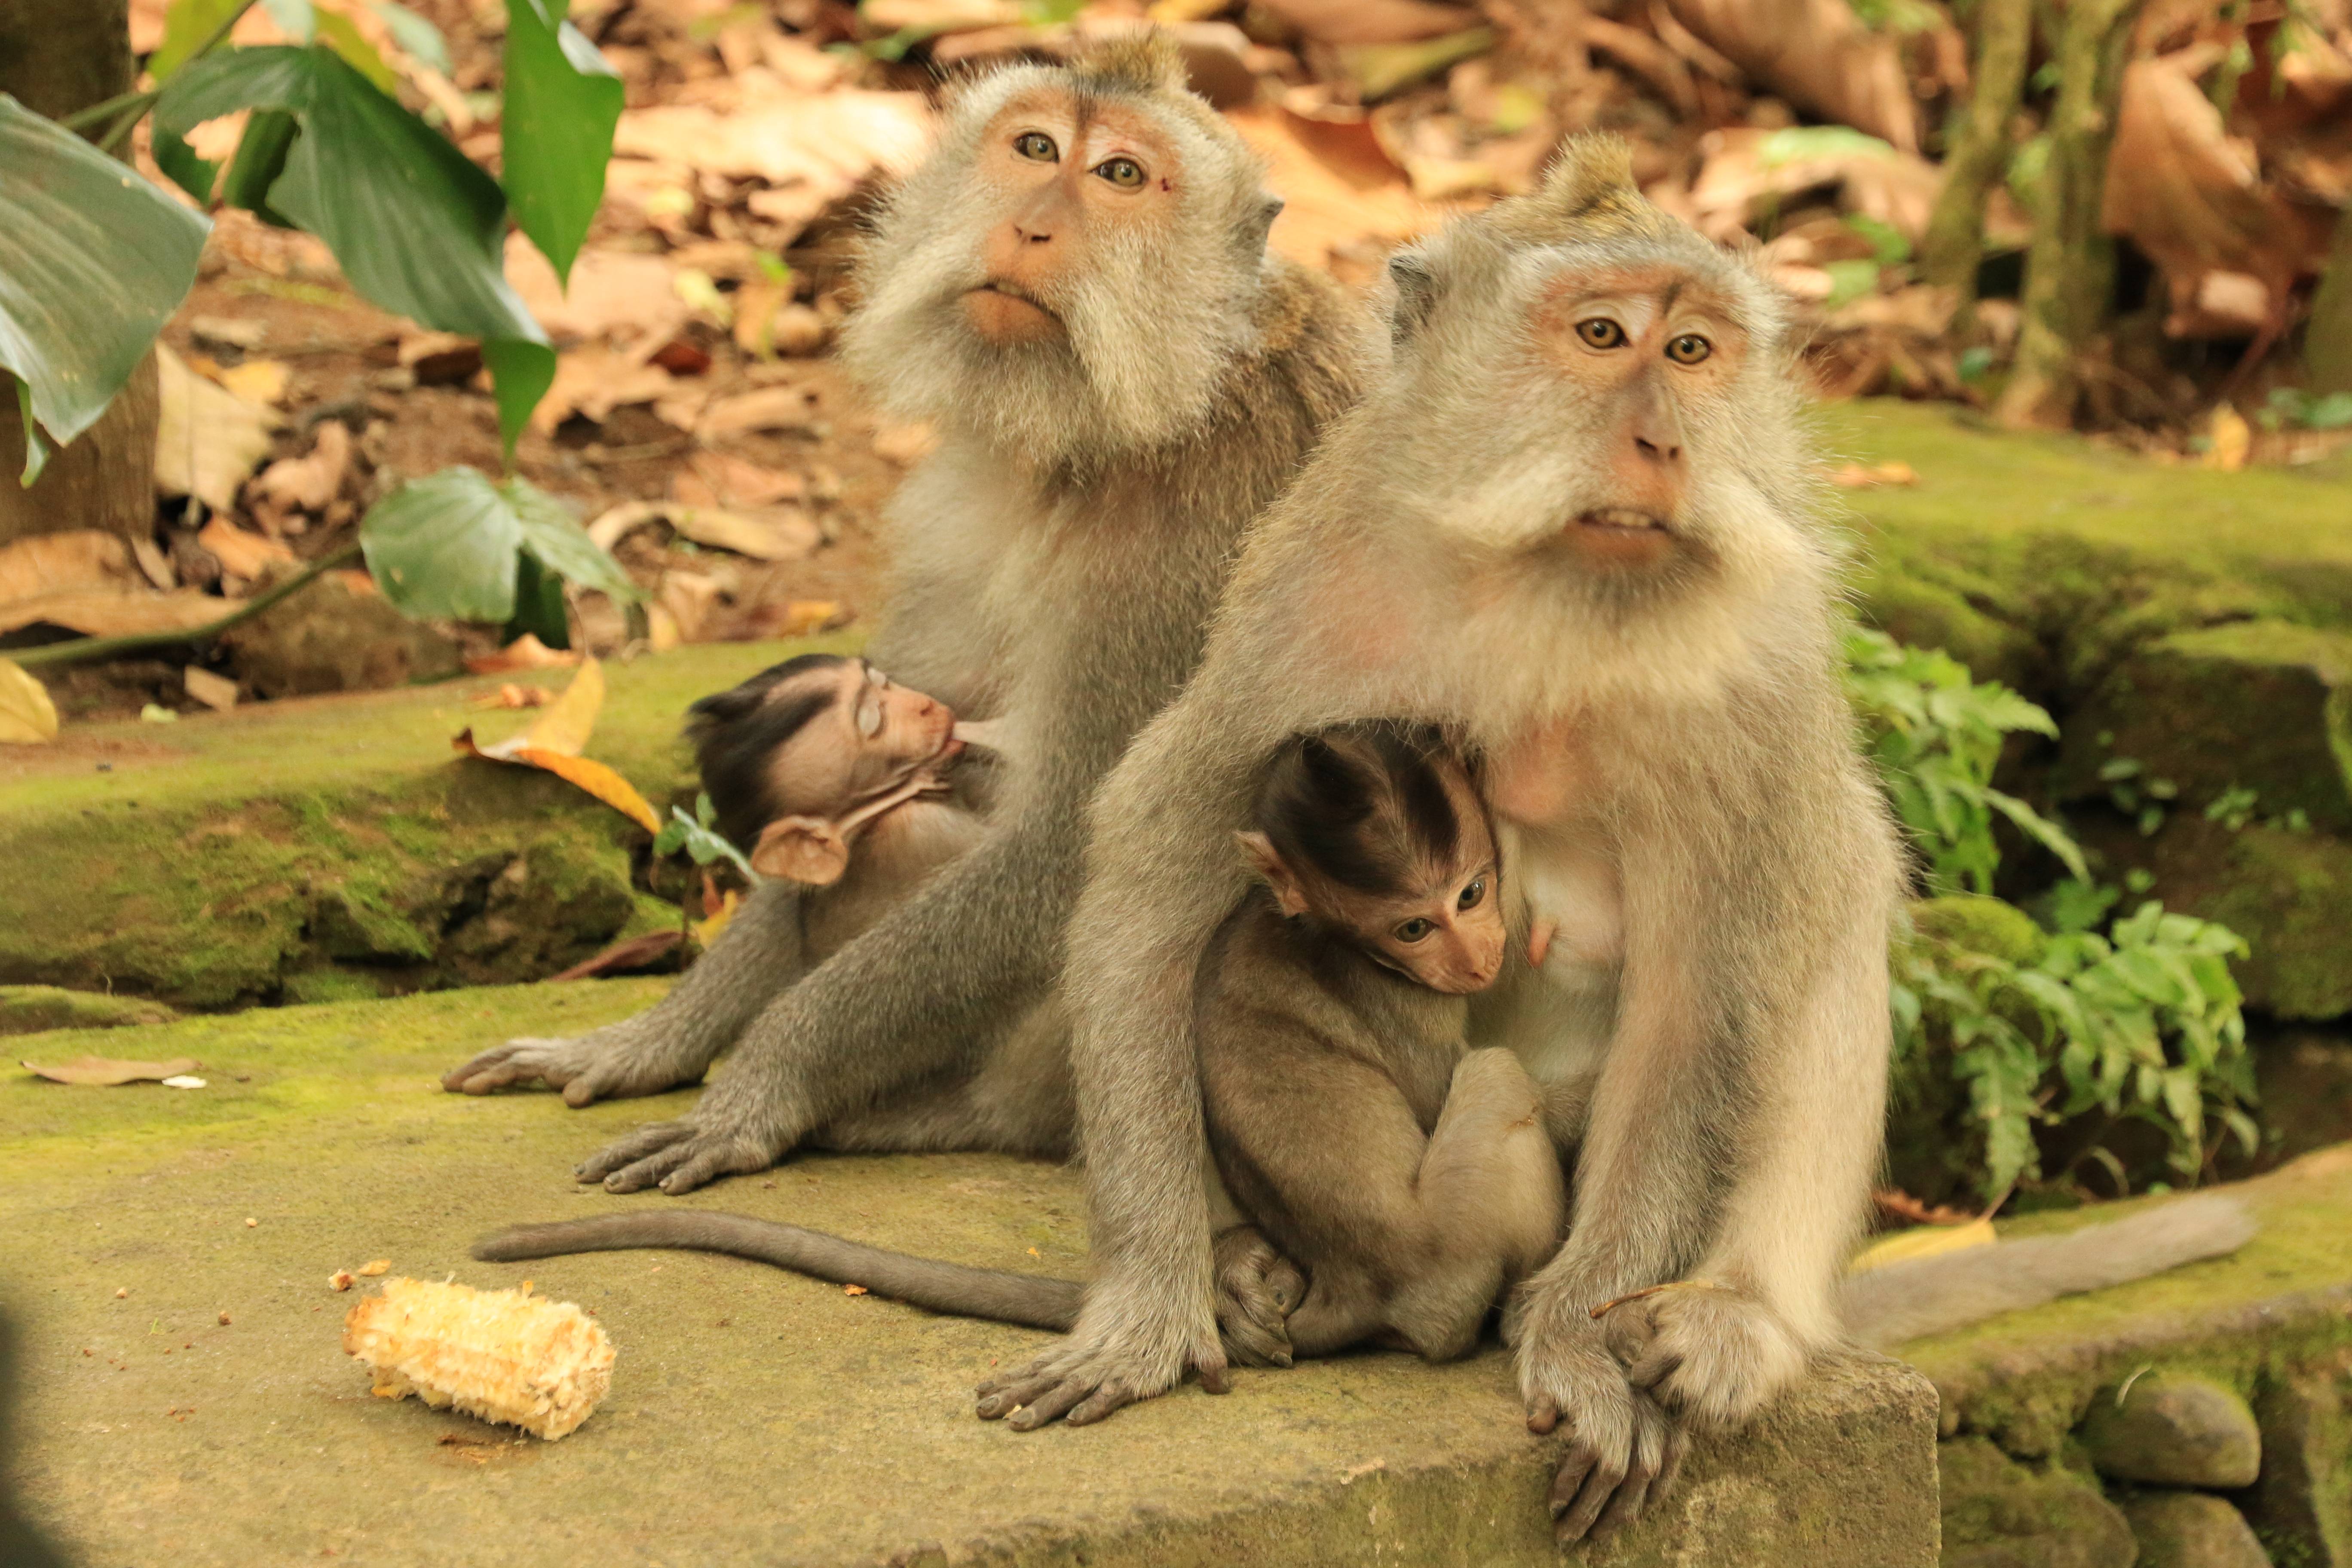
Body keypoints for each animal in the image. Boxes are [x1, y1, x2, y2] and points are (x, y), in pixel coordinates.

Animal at [439, 36, 1370, 1195]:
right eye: (1035, 149)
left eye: (1120, 175)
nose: (1031, 227)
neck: (1137, 421)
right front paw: (650, 1041)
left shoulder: (1187, 548)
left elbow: (1071, 846)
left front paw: (761, 1081)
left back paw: (952, 1114)